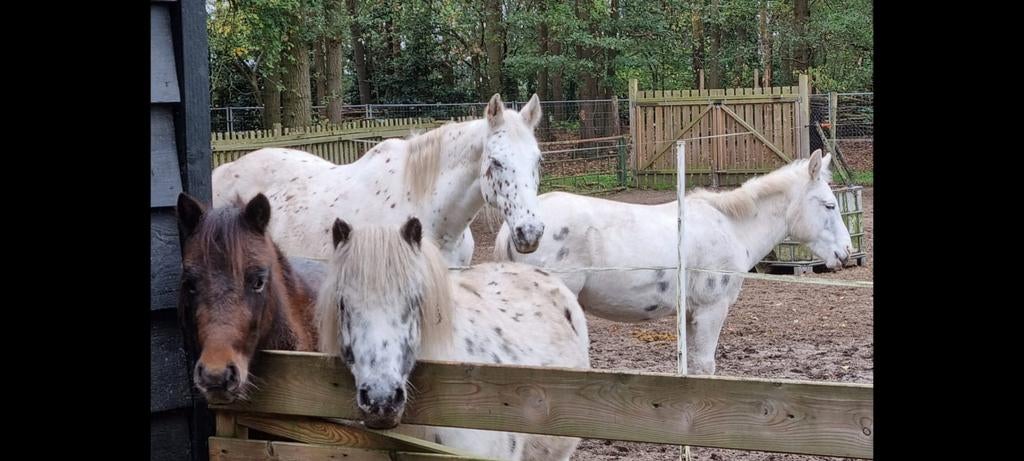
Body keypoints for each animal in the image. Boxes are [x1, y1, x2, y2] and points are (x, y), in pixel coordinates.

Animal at [494, 150, 854, 375]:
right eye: (830, 205)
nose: (847, 253)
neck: (730, 227)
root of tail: (516, 230)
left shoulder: (691, 314)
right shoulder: (712, 310)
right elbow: (705, 366)